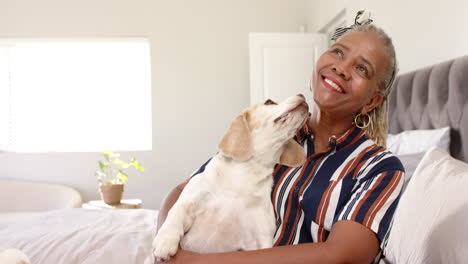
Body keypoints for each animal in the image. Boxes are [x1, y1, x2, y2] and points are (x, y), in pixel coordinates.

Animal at [152, 94, 308, 260]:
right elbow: (174, 215)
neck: (245, 176)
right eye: (269, 102)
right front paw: (165, 242)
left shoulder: (261, 237)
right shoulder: (189, 202)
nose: (302, 95)